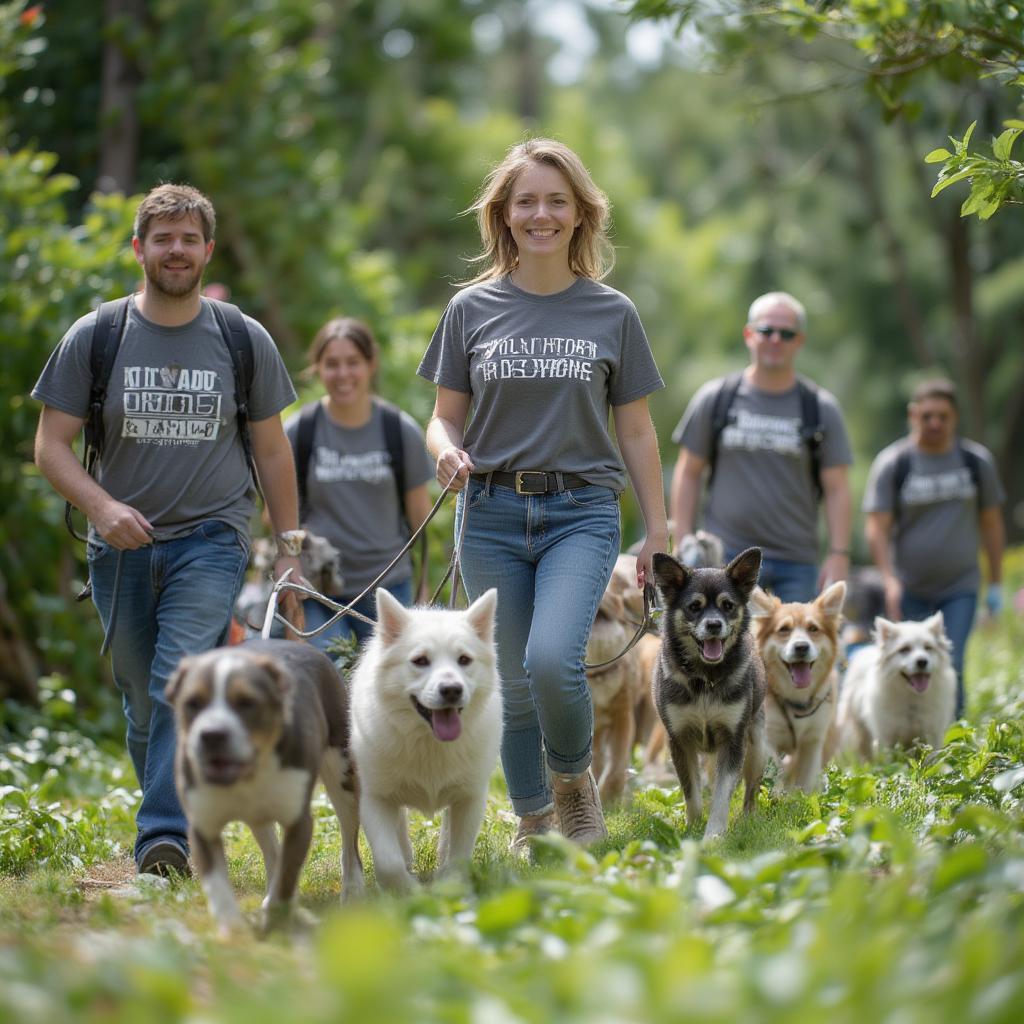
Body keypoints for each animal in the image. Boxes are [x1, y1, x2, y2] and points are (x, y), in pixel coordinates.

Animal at [164, 638, 364, 937]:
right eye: (193, 703)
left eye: (247, 703)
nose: (212, 734)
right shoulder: (202, 825)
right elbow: (218, 886)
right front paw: (232, 930)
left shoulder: (298, 821)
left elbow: (287, 876)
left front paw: (276, 923)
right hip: (260, 818)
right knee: (272, 852)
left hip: (343, 774)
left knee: (349, 838)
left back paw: (353, 890)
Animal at [348, 589, 499, 892]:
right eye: (420, 661)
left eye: (464, 660)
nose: (451, 690)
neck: (429, 743)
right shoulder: (374, 798)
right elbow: (388, 862)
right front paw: (411, 892)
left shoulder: (470, 797)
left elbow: (458, 855)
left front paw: (449, 887)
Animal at [651, 548, 765, 835]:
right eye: (694, 606)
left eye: (728, 605)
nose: (714, 625)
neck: (705, 679)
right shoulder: (679, 739)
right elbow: (691, 793)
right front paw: (692, 828)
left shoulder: (734, 740)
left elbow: (722, 795)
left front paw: (713, 834)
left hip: (757, 746)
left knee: (751, 789)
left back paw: (748, 818)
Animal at [749, 585, 843, 790]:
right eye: (784, 629)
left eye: (813, 628)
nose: (801, 647)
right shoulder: (768, 738)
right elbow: (774, 774)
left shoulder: (813, 741)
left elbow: (804, 783)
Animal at [835, 610, 954, 757]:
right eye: (904, 649)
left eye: (928, 648)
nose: (922, 661)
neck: (911, 700)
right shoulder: (886, 738)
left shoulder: (932, 734)